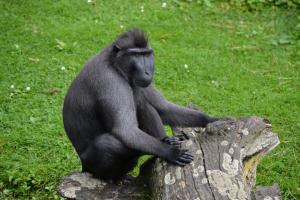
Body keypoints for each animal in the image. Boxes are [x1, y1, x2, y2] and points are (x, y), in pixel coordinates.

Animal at [62, 28, 218, 180]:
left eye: (146, 55)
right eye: (136, 55)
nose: (147, 72)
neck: (114, 63)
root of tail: (84, 167)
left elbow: (164, 109)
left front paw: (213, 120)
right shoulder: (110, 80)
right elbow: (126, 130)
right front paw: (170, 152)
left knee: (143, 105)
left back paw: (166, 139)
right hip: (92, 164)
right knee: (105, 143)